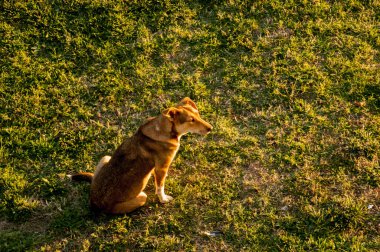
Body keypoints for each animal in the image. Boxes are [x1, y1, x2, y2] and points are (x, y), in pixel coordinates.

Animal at [71, 97, 212, 214]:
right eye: (191, 120)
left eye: (198, 114)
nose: (210, 128)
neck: (163, 128)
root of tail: (95, 204)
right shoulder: (161, 168)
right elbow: (160, 187)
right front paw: (163, 199)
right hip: (142, 197)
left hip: (105, 158)